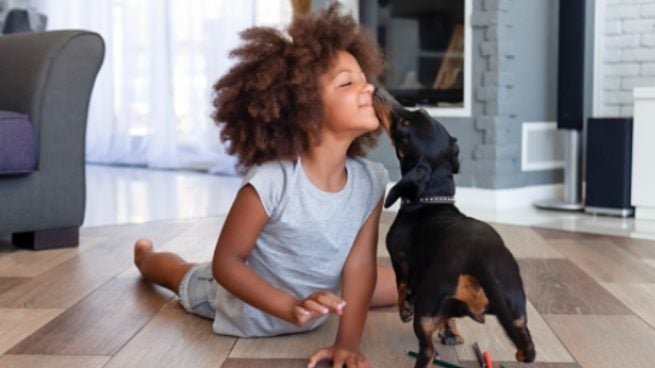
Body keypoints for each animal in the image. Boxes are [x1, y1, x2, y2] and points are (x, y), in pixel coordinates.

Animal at [374, 90, 540, 368]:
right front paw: (451, 333)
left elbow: (401, 285)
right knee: (526, 347)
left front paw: (404, 309)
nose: (378, 92)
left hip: (427, 304)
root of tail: (478, 258)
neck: (432, 200)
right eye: (422, 112)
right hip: (516, 308)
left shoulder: (400, 260)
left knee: (428, 349)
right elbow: (448, 318)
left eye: (405, 124)